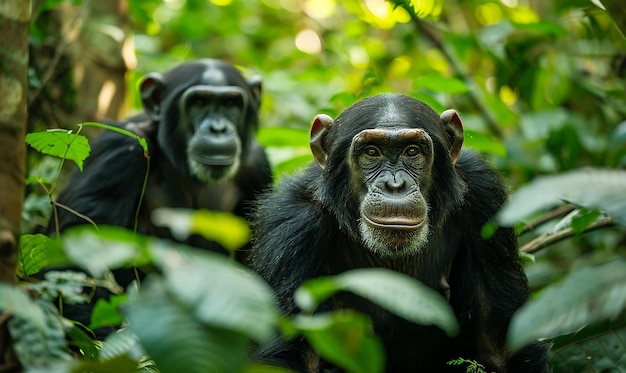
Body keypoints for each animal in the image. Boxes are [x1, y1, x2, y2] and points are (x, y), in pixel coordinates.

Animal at [249, 94, 544, 370]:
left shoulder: (486, 197)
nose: (395, 185)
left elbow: (498, 345)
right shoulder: (291, 229)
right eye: (371, 152)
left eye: (412, 151)